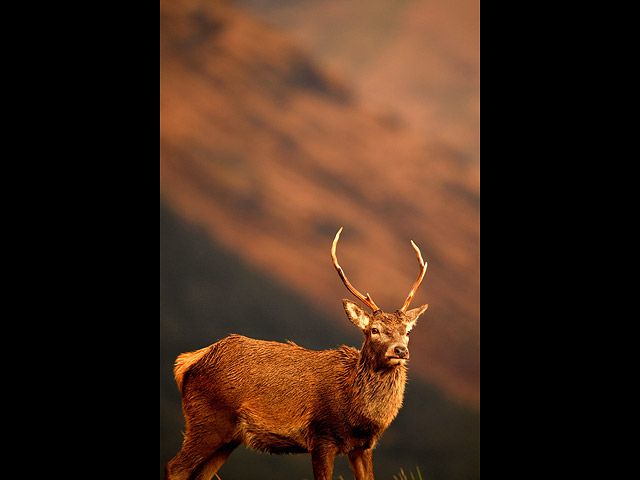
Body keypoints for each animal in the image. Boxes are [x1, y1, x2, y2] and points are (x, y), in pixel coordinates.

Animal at [162, 226, 428, 480]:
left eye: (407, 332)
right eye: (375, 330)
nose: (400, 350)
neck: (357, 412)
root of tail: (187, 362)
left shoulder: (363, 447)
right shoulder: (321, 435)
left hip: (229, 437)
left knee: (200, 474)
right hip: (207, 420)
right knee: (175, 468)